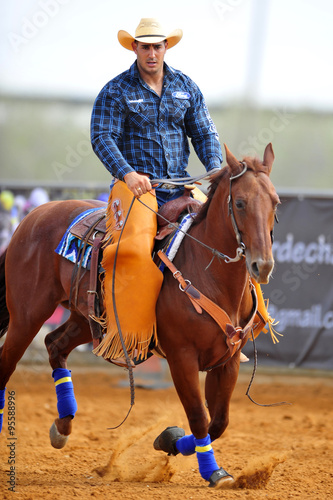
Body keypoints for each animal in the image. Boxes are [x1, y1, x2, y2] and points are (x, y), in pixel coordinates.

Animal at [0, 144, 278, 488]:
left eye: (276, 202)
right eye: (239, 202)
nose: (262, 265)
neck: (209, 275)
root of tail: (34, 215)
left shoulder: (228, 359)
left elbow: (219, 421)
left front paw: (170, 439)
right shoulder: (181, 357)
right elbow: (199, 417)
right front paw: (211, 470)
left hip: (90, 320)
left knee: (54, 344)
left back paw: (63, 427)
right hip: (26, 316)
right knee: (8, 362)